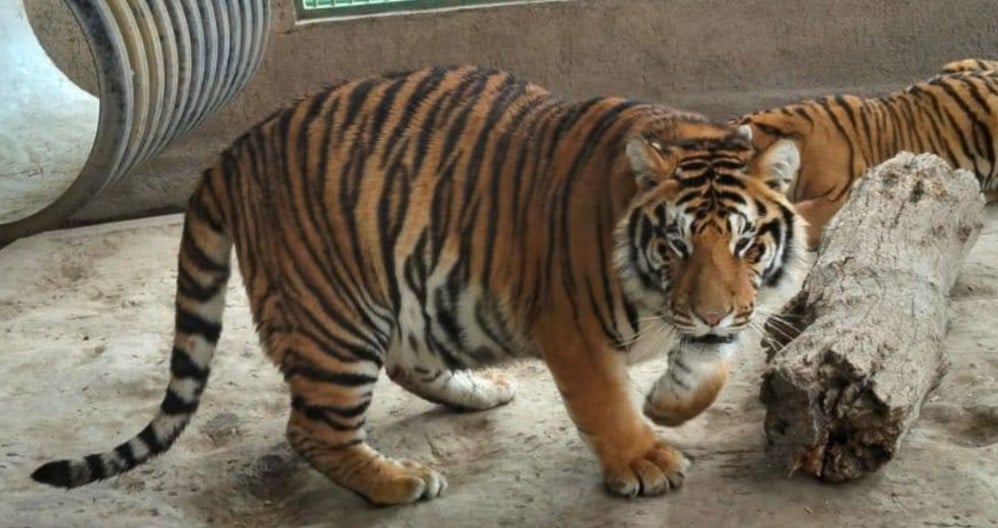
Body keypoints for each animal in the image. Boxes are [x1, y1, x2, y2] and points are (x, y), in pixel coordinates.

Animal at [30, 65, 807, 505]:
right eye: (674, 244)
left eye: (745, 243)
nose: (713, 314)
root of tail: (232, 153)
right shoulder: (570, 326)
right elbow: (605, 404)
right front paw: (642, 461)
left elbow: (709, 371)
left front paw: (670, 404)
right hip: (335, 317)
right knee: (311, 429)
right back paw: (397, 482)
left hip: (408, 286)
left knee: (407, 363)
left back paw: (481, 391)